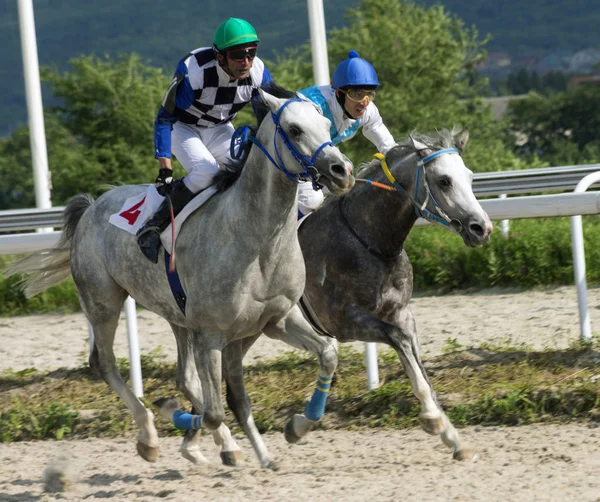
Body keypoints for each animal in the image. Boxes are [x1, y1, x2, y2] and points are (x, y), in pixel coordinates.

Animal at [5, 85, 356, 466]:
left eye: (327, 125)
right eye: (294, 129)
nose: (342, 171)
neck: (257, 239)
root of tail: (91, 206)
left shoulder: (275, 319)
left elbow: (328, 354)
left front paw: (298, 426)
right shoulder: (211, 333)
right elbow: (215, 410)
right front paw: (176, 417)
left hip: (177, 317)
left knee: (185, 377)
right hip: (103, 300)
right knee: (105, 362)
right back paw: (150, 434)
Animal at [168, 127, 492, 464]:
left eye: (469, 177)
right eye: (444, 180)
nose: (481, 227)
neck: (368, 238)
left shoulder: (402, 314)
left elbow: (419, 366)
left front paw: (453, 438)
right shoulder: (345, 321)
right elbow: (397, 341)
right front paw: (431, 418)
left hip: (244, 329)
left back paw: (200, 444)